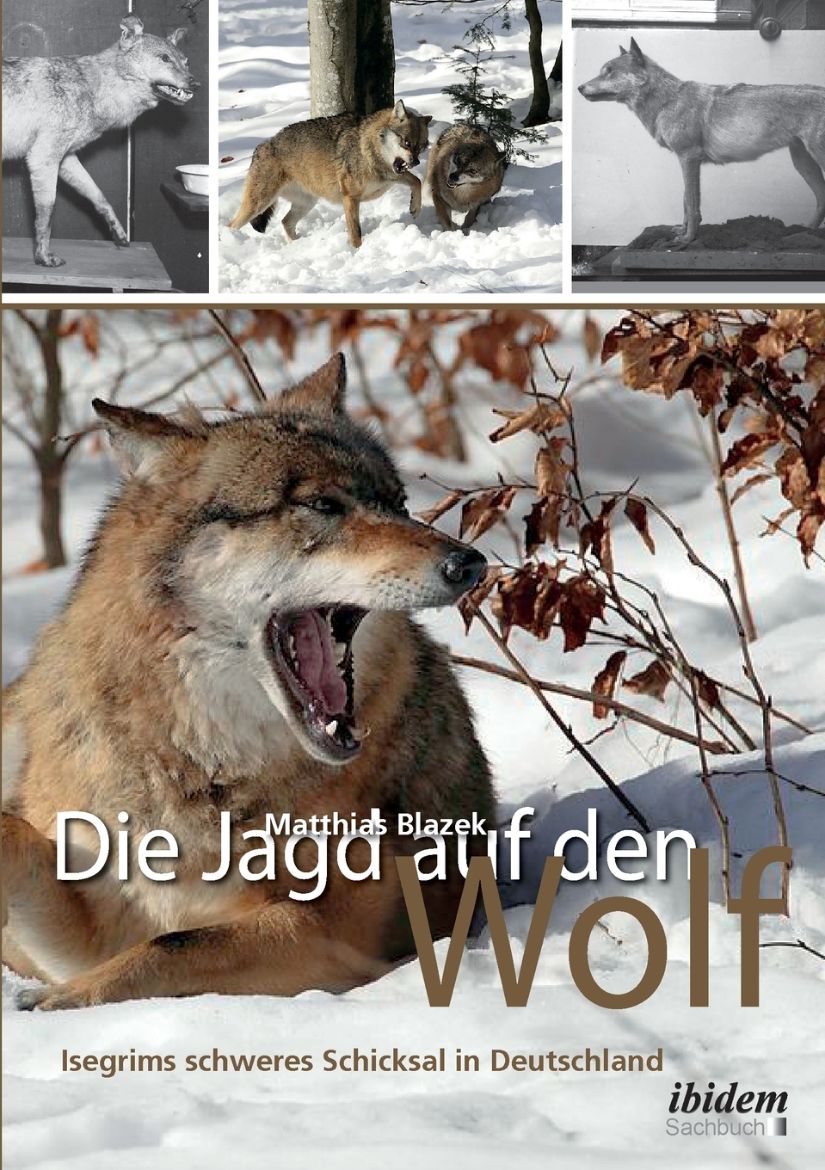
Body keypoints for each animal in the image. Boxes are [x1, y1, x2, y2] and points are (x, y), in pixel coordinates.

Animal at [2, 15, 198, 267]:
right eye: (165, 58)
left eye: (186, 62)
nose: (196, 84)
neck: (95, 88)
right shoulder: (42, 158)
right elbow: (47, 213)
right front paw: (43, 256)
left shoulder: (66, 158)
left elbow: (100, 197)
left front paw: (119, 234)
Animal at [2, 355, 496, 1010]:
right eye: (322, 505)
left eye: (398, 503)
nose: (469, 563)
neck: (204, 770)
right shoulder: (92, 923)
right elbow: (18, 839)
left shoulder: (333, 931)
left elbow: (171, 946)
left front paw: (59, 1004)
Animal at [229, 100, 433, 248]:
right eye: (406, 143)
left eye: (421, 147)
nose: (416, 162)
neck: (366, 148)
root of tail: (262, 145)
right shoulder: (350, 197)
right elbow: (355, 232)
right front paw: (356, 251)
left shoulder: (393, 176)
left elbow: (417, 181)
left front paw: (415, 208)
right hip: (258, 205)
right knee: (231, 225)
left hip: (306, 204)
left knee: (285, 222)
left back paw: (297, 245)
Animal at [578, 38, 825, 245]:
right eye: (603, 71)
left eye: (609, 72)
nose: (579, 87)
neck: (667, 101)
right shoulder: (685, 161)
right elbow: (686, 202)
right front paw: (681, 231)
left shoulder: (688, 158)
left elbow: (692, 204)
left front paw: (687, 240)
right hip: (802, 162)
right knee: (821, 199)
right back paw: (805, 231)